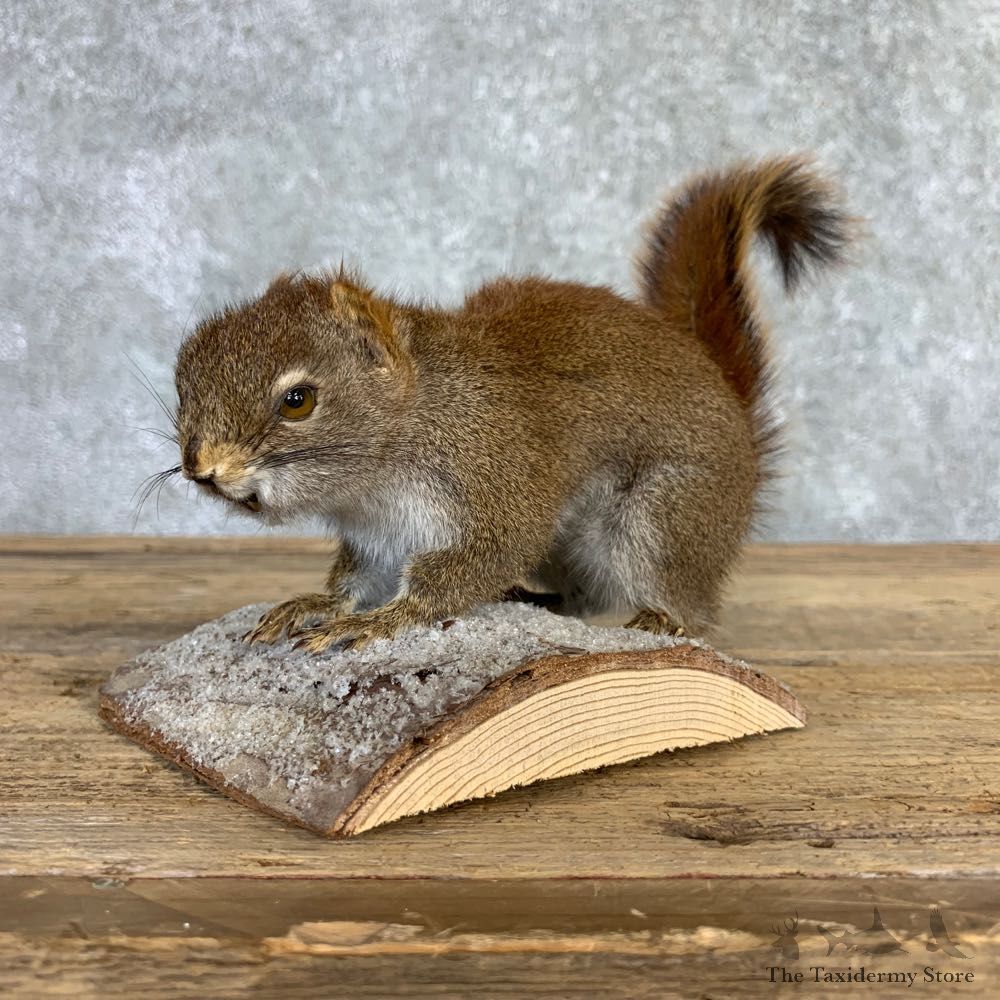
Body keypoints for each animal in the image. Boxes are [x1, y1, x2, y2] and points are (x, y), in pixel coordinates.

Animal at [172, 155, 850, 653]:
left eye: (297, 400)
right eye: (182, 379)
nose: (201, 470)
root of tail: (734, 411)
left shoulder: (498, 484)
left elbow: (473, 563)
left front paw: (380, 621)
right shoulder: (378, 536)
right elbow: (359, 578)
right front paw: (319, 603)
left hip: (664, 517)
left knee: (688, 604)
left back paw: (662, 619)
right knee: (583, 598)